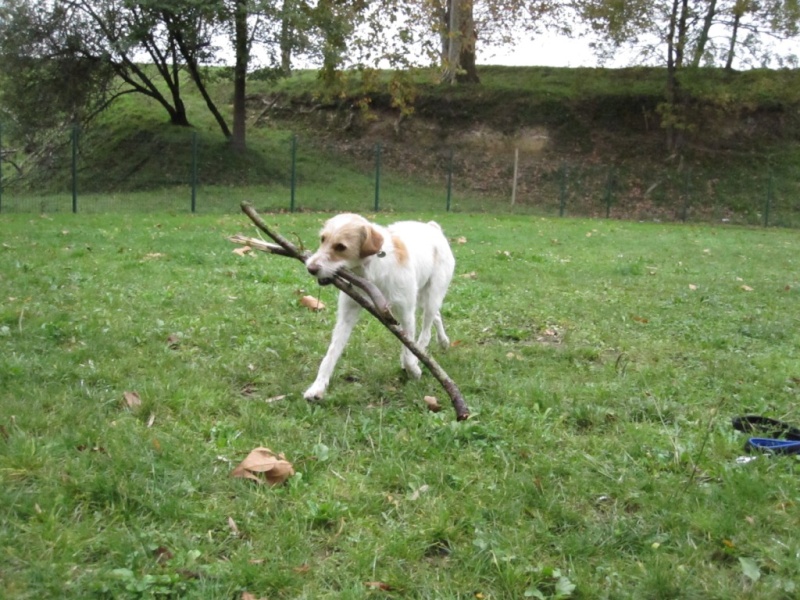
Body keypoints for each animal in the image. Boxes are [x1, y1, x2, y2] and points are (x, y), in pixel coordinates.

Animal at [304, 213, 456, 400]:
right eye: (322, 239)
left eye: (340, 247)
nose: (310, 268)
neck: (369, 271)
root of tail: (432, 227)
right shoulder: (347, 313)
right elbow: (331, 353)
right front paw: (318, 386)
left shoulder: (405, 313)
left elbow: (408, 349)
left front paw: (413, 370)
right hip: (422, 297)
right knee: (437, 316)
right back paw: (443, 341)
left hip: (432, 296)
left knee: (426, 332)